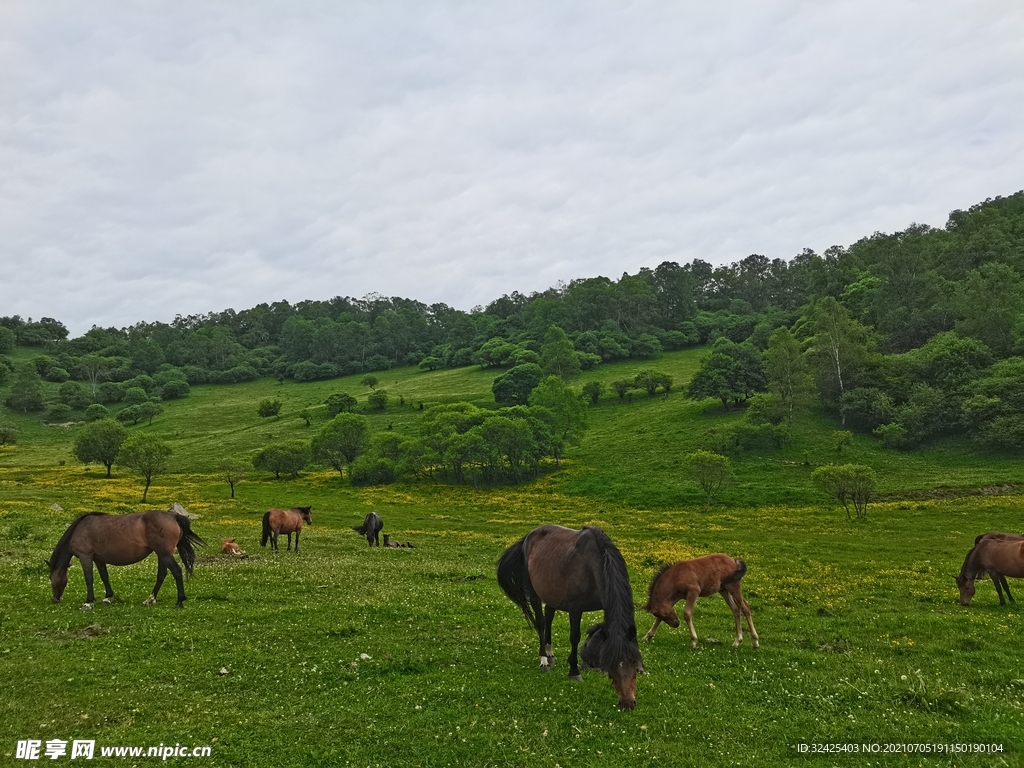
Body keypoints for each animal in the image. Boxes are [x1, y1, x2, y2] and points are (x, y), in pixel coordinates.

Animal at [48, 512, 205, 614]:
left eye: (50, 577)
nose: (55, 599)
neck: (80, 529)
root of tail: (173, 516)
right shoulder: (98, 559)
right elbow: (104, 577)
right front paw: (108, 597)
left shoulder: (85, 556)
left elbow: (89, 579)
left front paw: (88, 602)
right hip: (161, 554)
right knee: (162, 574)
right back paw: (149, 600)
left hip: (164, 554)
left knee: (177, 571)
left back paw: (179, 601)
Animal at [493, 528, 638, 712]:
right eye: (612, 663)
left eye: (634, 662)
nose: (628, 703)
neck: (591, 564)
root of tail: (528, 536)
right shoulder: (575, 608)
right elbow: (574, 637)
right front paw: (574, 671)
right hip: (534, 594)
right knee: (541, 623)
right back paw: (544, 660)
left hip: (551, 594)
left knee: (549, 618)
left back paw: (550, 653)